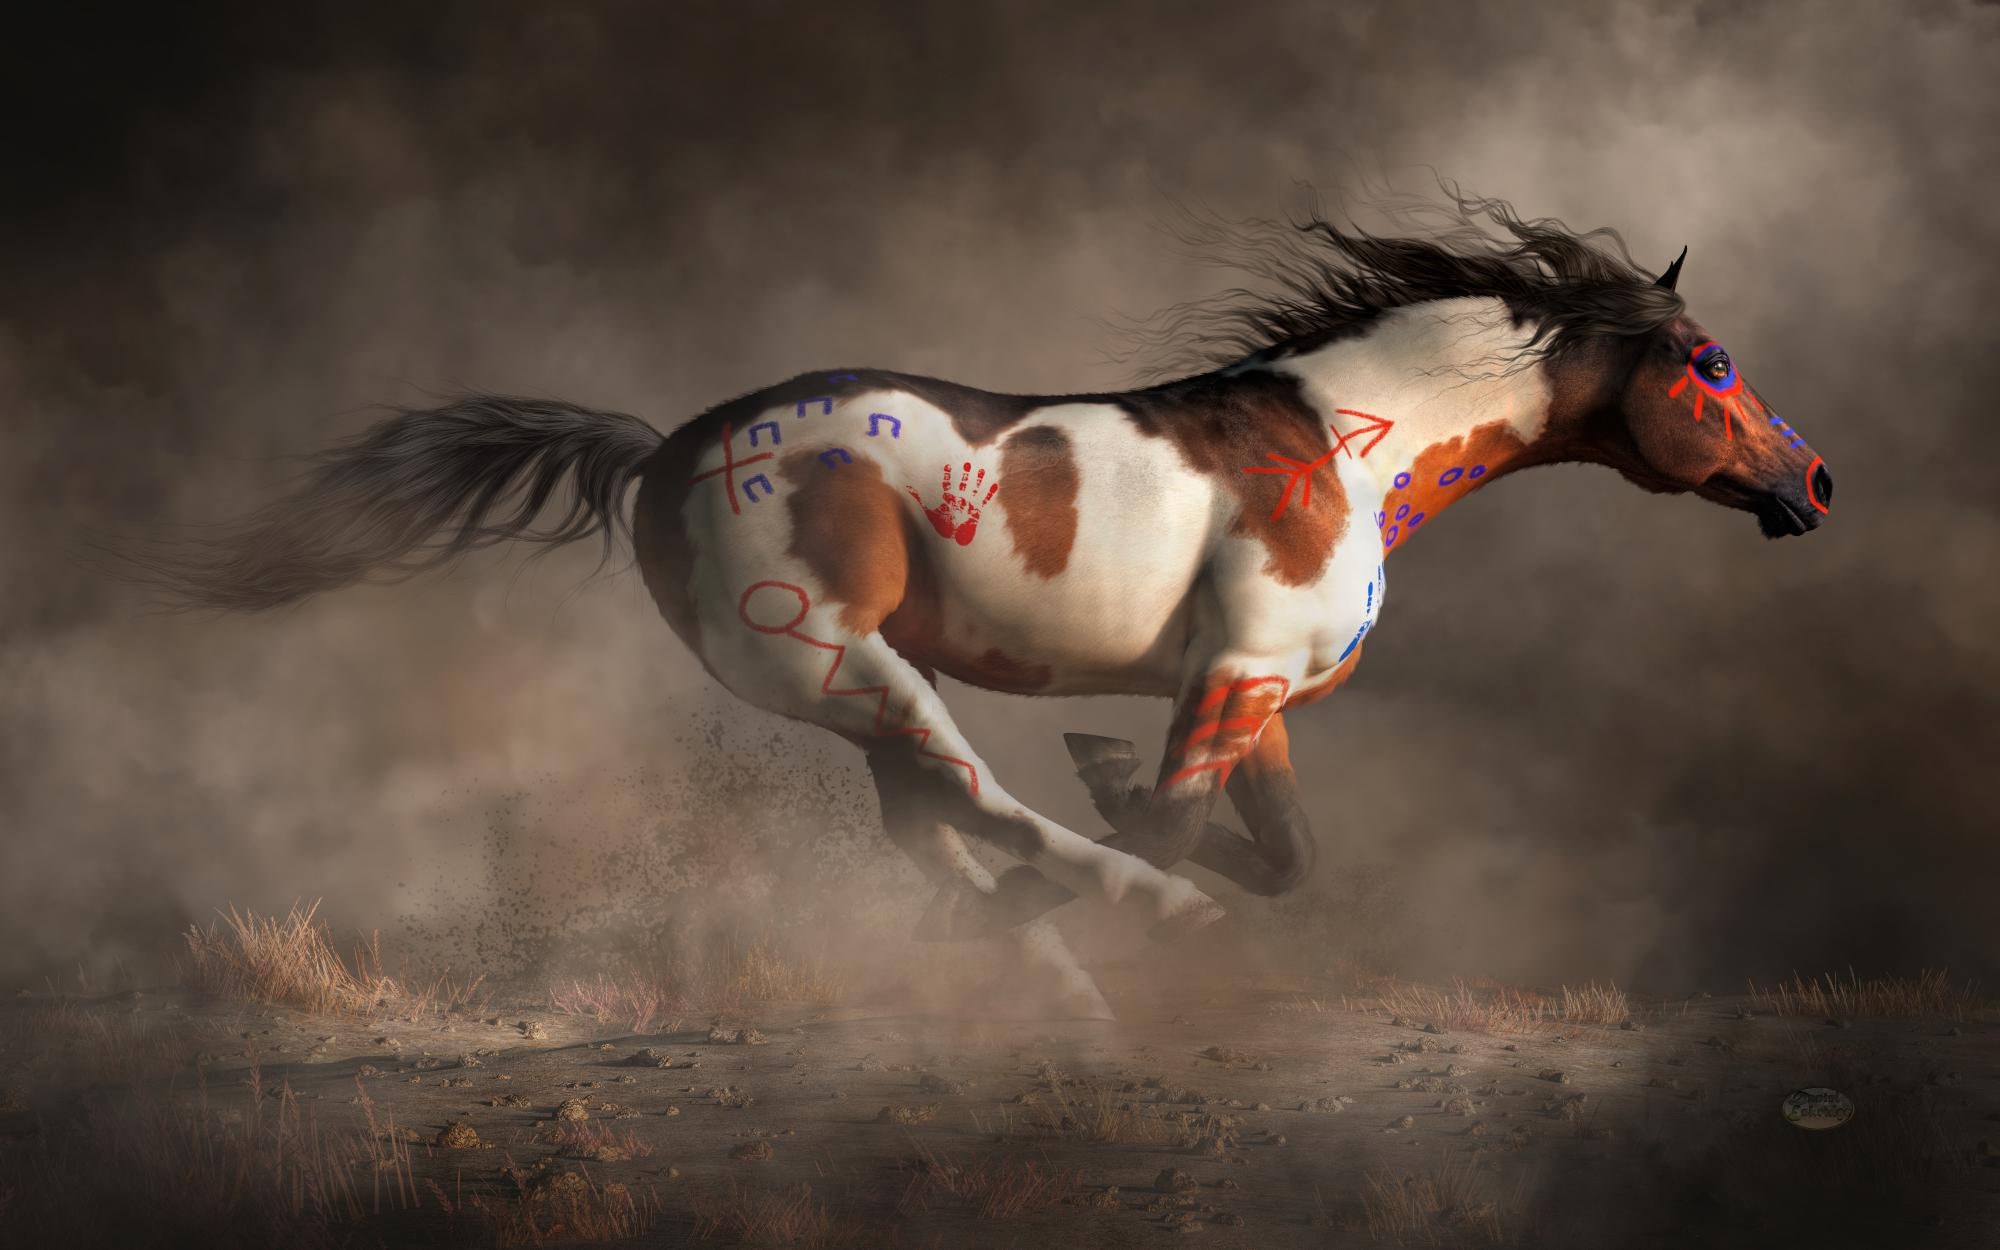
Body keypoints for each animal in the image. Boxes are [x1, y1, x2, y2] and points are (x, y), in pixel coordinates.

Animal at [118, 190, 1832, 1019]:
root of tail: (655, 456)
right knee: (977, 799)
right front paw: (1130, 838)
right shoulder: (1232, 679)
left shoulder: (1257, 690)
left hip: (857, 690)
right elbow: (1183, 830)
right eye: (1712, 364)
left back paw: (1019, 961)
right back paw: (1094, 925)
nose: (1814, 483)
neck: (1350, 442)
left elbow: (1291, 853)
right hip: (838, 658)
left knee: (932, 822)